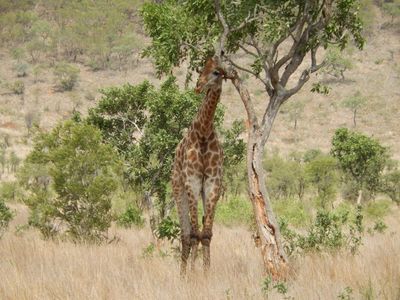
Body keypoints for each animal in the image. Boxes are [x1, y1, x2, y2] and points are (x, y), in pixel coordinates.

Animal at [172, 56, 227, 276]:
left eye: (216, 72)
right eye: (201, 69)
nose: (198, 86)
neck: (203, 131)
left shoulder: (212, 183)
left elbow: (207, 234)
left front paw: (205, 273)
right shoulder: (192, 181)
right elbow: (195, 233)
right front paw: (192, 276)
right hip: (178, 190)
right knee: (185, 234)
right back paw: (182, 274)